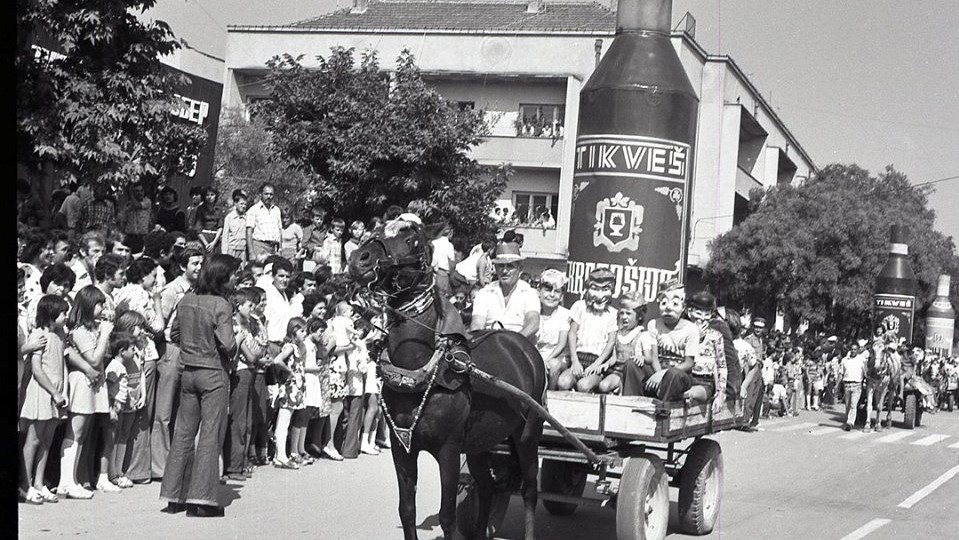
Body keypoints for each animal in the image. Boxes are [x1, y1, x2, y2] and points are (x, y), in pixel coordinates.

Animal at [350, 221, 548, 536]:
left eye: (411, 238)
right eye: (378, 229)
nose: (360, 259)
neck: (418, 372)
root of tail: (523, 346)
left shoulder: (449, 450)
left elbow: (447, 516)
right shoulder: (402, 447)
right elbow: (407, 510)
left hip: (527, 435)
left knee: (529, 491)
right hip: (481, 443)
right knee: (487, 489)